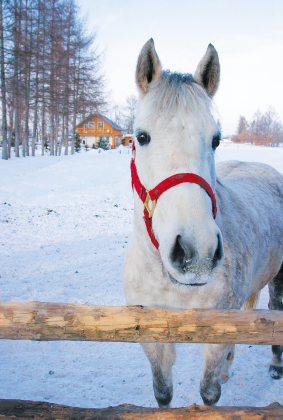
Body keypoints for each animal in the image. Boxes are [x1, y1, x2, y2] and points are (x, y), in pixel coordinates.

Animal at [123, 39, 283, 406]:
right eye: (141, 136)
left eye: (216, 139)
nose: (196, 253)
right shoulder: (152, 337)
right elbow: (163, 392)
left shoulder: (214, 334)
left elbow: (209, 393)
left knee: (274, 311)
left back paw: (274, 365)